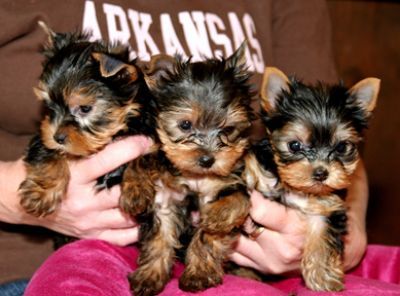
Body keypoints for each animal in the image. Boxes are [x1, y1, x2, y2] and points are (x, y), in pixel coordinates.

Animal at [19, 22, 155, 217]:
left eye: (85, 109)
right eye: (48, 105)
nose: (57, 137)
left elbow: (146, 157)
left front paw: (137, 190)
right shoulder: (42, 136)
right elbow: (47, 152)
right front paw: (41, 193)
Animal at [120, 44, 255, 296]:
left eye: (228, 129)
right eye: (185, 125)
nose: (207, 159)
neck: (193, 175)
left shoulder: (227, 183)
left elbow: (215, 227)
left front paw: (199, 272)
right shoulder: (164, 196)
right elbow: (159, 237)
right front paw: (150, 275)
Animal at [242, 67, 380, 292]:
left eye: (341, 147)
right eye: (295, 145)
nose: (321, 173)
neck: (296, 188)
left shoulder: (328, 206)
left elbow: (323, 239)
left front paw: (323, 277)